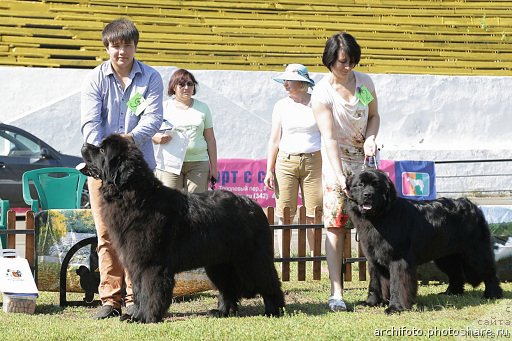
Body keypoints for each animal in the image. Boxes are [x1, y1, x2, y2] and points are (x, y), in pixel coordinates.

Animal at [77, 133, 284, 322]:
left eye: (102, 150)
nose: (84, 144)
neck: (137, 198)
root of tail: (254, 205)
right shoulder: (136, 263)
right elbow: (138, 291)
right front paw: (135, 316)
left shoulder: (151, 264)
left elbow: (149, 290)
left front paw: (146, 317)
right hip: (219, 263)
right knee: (228, 287)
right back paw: (222, 311)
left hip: (250, 259)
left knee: (269, 281)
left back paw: (274, 310)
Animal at [346, 168, 502, 314]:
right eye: (360, 185)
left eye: (376, 185)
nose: (368, 195)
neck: (380, 217)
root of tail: (472, 206)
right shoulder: (374, 259)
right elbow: (374, 283)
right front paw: (371, 302)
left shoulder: (398, 260)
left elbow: (397, 284)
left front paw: (395, 307)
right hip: (446, 256)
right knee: (456, 274)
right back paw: (451, 292)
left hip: (474, 253)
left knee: (489, 271)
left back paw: (493, 294)